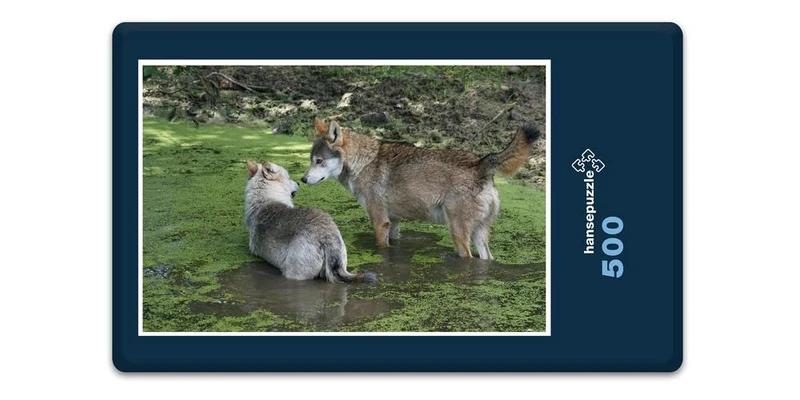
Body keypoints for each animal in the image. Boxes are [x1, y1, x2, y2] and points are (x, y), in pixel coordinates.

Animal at [302, 117, 541, 260]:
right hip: (479, 236)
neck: (364, 162)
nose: (303, 179)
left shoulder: (380, 222)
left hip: (459, 234)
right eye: (311, 160)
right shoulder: (394, 222)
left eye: (319, 161)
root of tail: (480, 163)